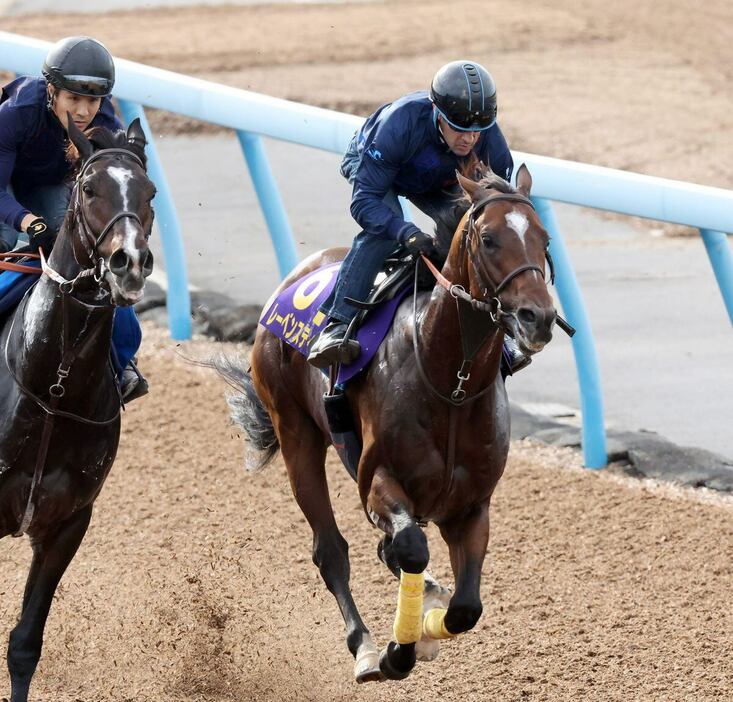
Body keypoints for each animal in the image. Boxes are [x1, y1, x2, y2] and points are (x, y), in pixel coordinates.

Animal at [0, 118, 154, 700]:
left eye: (149, 193)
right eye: (89, 188)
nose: (128, 263)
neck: (54, 389)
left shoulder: (68, 521)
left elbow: (24, 644)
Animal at [217, 161, 556, 680]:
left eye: (544, 238)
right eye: (489, 239)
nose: (538, 317)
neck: (451, 384)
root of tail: (295, 276)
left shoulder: (472, 505)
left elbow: (465, 608)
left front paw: (428, 628)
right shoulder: (377, 481)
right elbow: (411, 545)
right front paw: (400, 650)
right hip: (296, 433)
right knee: (331, 550)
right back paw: (365, 647)